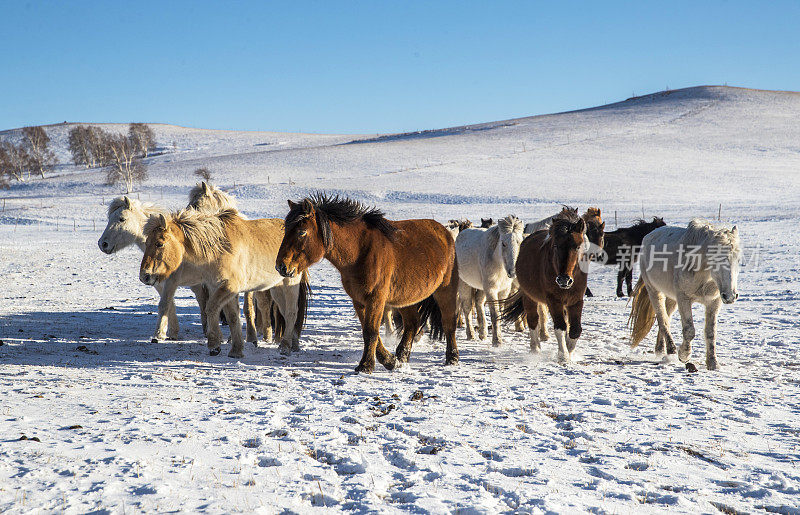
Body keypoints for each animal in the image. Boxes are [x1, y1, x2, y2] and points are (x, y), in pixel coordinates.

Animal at [141, 208, 310, 356]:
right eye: (146, 242)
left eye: (159, 243)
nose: (144, 276)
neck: (219, 248)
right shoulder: (218, 287)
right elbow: (232, 317)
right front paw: (236, 350)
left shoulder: (229, 287)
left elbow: (211, 308)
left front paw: (214, 345)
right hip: (276, 288)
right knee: (285, 312)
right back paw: (294, 344)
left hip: (290, 284)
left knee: (291, 312)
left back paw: (285, 347)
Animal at [276, 195, 460, 374]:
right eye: (286, 231)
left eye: (301, 232)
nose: (281, 266)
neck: (360, 251)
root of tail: (445, 232)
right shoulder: (359, 300)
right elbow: (369, 331)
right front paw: (390, 361)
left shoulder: (376, 299)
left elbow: (371, 332)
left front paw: (366, 365)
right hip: (407, 298)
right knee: (412, 324)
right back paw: (402, 357)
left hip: (446, 290)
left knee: (448, 322)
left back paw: (452, 358)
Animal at [456, 216, 524, 344]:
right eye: (503, 243)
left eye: (519, 242)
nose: (512, 272)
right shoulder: (491, 289)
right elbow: (494, 314)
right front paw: (497, 341)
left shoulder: (503, 290)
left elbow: (499, 312)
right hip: (464, 284)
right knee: (467, 307)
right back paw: (471, 334)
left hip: (482, 287)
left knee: (479, 302)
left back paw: (482, 333)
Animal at [504, 209, 592, 362]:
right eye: (555, 245)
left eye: (577, 246)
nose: (564, 280)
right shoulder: (553, 300)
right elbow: (560, 327)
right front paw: (563, 356)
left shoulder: (576, 300)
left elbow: (575, 329)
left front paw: (569, 351)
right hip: (529, 297)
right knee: (533, 320)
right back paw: (535, 349)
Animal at [628, 219, 740, 370]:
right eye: (715, 259)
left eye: (738, 260)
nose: (730, 296)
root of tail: (649, 235)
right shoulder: (684, 299)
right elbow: (689, 330)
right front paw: (684, 355)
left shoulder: (713, 302)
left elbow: (711, 333)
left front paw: (713, 363)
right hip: (655, 292)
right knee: (662, 319)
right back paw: (671, 350)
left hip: (671, 299)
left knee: (666, 318)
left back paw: (661, 350)